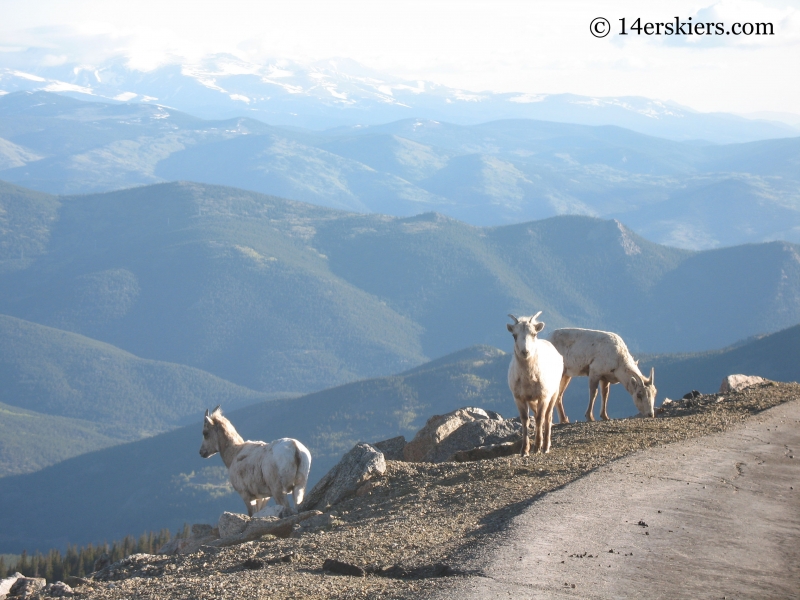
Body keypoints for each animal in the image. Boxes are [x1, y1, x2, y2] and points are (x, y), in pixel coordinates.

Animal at [506, 314, 564, 454]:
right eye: (514, 335)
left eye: (534, 334)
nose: (525, 352)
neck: (528, 379)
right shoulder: (519, 398)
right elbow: (525, 420)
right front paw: (524, 450)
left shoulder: (544, 397)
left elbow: (539, 419)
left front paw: (537, 448)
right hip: (533, 401)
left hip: (554, 393)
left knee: (548, 417)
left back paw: (546, 446)